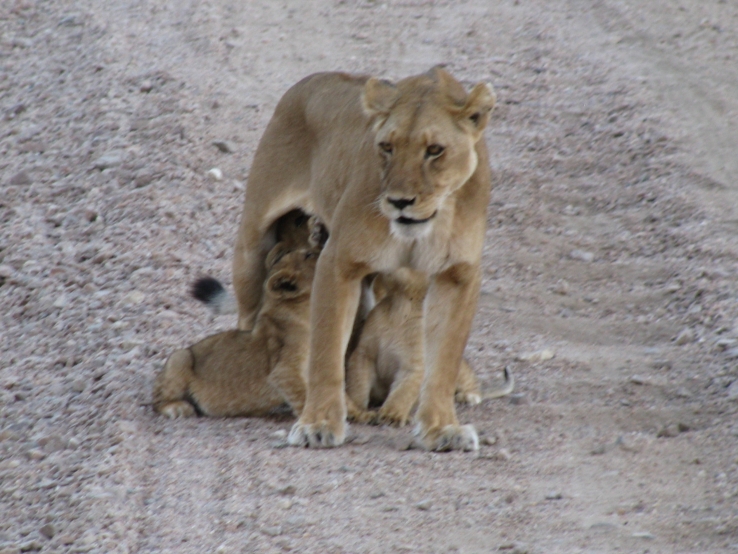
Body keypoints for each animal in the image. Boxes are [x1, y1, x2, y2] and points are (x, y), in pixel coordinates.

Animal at [153, 243, 319, 418]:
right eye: (308, 255)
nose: (321, 247)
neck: (305, 311)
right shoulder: (283, 371)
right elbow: (303, 397)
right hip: (180, 358)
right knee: (157, 402)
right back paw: (178, 408)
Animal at [231, 67, 496, 451]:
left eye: (434, 150)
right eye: (386, 147)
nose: (400, 202)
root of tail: (308, 81)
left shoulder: (458, 275)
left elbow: (444, 360)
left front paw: (442, 428)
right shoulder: (338, 262)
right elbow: (326, 352)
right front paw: (318, 424)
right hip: (251, 248)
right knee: (248, 318)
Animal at [346, 269, 514, 427]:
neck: (401, 305)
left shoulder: (416, 363)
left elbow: (404, 392)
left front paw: (392, 415)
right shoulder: (364, 353)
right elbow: (358, 382)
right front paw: (358, 408)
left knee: (468, 382)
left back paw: (467, 396)